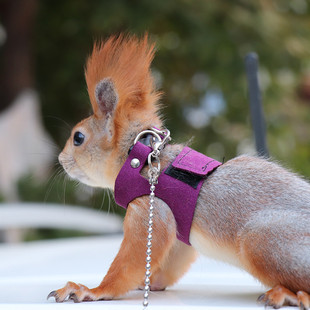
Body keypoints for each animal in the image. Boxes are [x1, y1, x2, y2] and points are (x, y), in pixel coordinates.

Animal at [47, 34, 310, 310]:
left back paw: (289, 294)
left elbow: (132, 258)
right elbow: (170, 260)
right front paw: (150, 282)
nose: (61, 160)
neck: (143, 159)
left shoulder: (149, 208)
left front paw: (92, 290)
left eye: (78, 138)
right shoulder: (177, 233)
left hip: (263, 239)